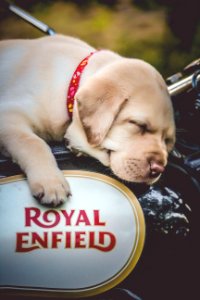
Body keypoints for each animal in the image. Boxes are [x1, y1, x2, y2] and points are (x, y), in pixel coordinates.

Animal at [0, 33, 175, 206]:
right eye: (139, 124)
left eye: (166, 140)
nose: (158, 169)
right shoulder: (9, 114)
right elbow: (32, 142)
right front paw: (51, 182)